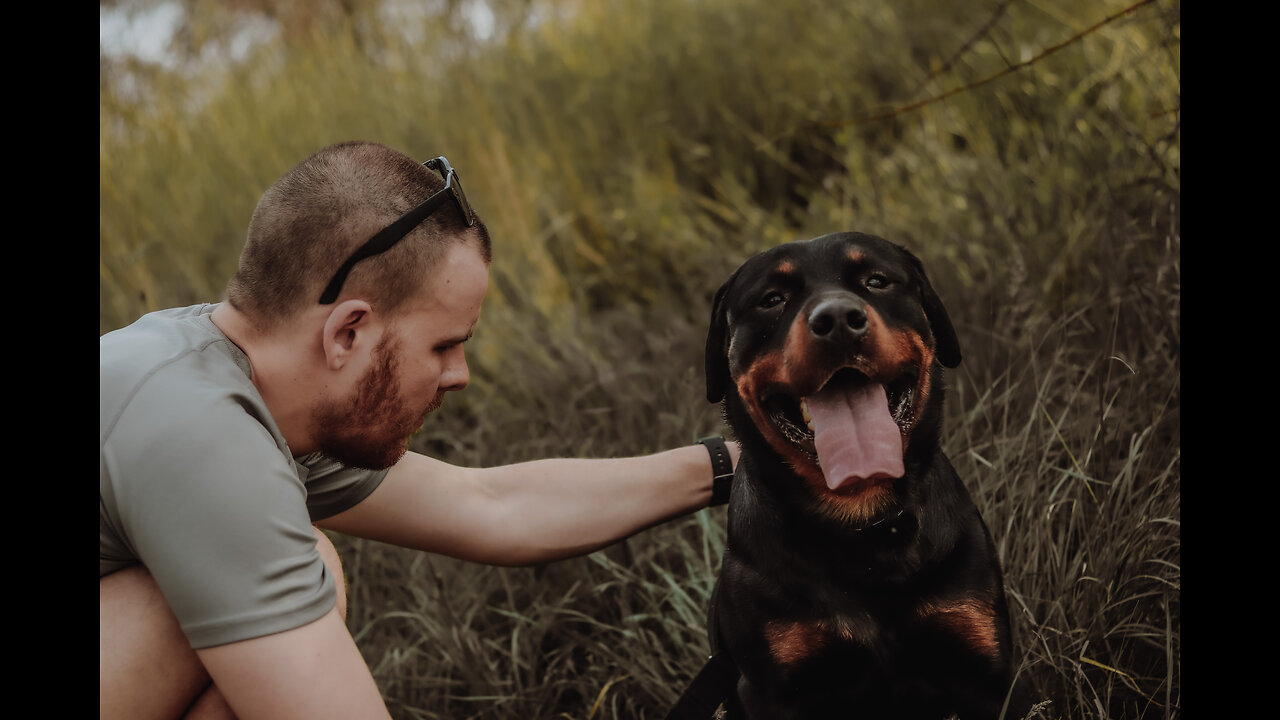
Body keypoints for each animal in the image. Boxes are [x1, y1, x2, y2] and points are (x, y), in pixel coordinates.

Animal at [706, 230, 1024, 717]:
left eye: (876, 280)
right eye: (772, 299)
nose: (837, 319)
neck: (861, 518)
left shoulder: (984, 667)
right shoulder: (771, 690)